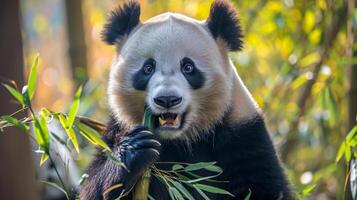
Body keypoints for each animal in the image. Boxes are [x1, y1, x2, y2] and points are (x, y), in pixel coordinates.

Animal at [80, 0, 292, 199]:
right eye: (148, 68)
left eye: (188, 67)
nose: (167, 99)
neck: (180, 139)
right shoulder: (117, 129)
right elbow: (93, 186)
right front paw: (135, 149)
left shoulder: (243, 132)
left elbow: (262, 185)